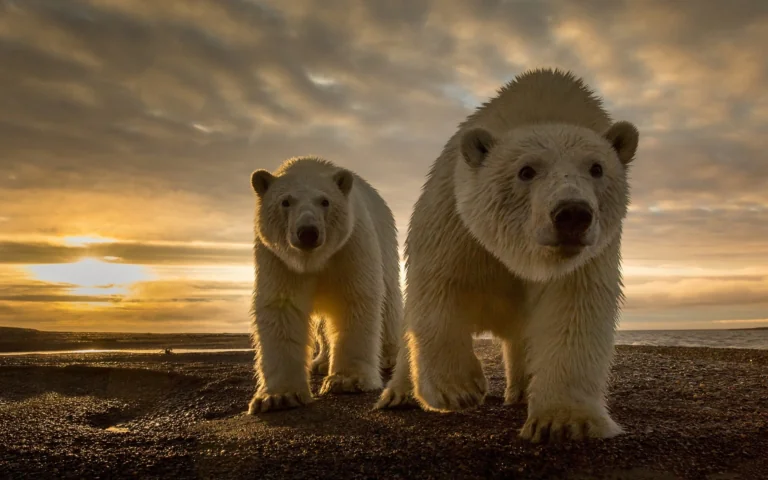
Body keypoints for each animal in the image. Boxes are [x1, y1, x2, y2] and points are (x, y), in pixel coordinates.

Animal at [247, 156, 403, 414]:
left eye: (325, 201)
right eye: (285, 201)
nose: (308, 232)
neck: (313, 260)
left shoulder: (350, 245)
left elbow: (354, 298)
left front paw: (347, 380)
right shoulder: (278, 259)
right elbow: (281, 308)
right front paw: (279, 396)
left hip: (386, 241)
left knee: (389, 300)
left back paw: (389, 356)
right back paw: (320, 362)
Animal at [375, 68, 639, 443]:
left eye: (597, 168)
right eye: (526, 170)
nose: (572, 214)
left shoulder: (588, 255)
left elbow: (574, 310)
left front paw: (565, 421)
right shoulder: (455, 220)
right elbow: (440, 285)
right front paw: (458, 389)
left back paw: (520, 390)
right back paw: (398, 394)